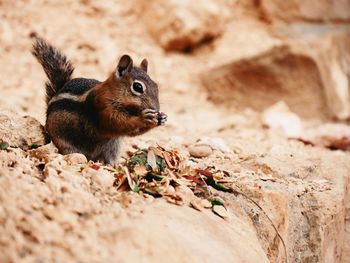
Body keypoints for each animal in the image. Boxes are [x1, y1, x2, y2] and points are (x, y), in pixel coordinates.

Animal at [31, 38, 167, 166]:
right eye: (138, 87)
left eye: (156, 86)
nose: (156, 109)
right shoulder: (102, 106)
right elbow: (118, 123)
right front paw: (143, 117)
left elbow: (132, 131)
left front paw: (162, 118)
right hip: (64, 141)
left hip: (113, 144)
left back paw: (114, 164)